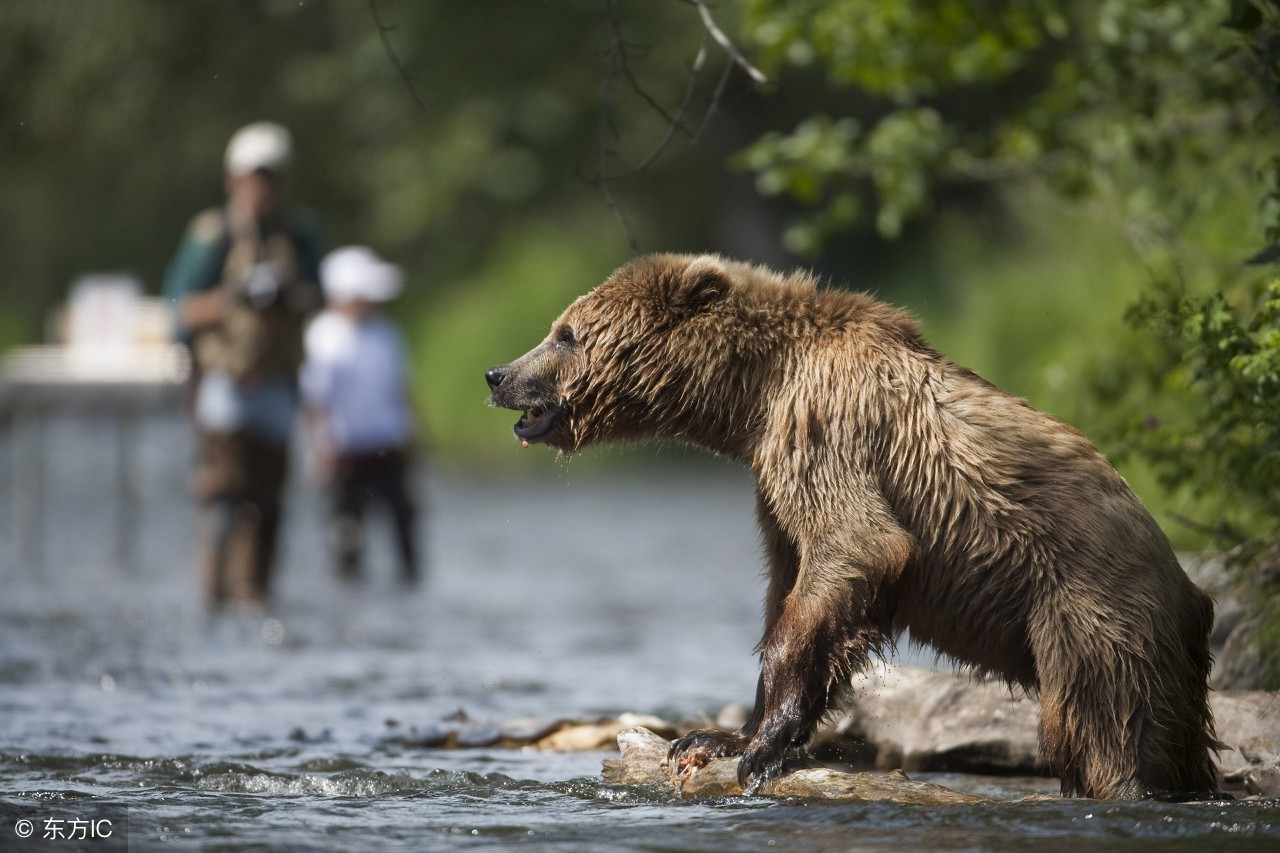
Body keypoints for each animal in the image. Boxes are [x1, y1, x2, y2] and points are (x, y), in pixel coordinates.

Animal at [486, 252, 1218, 799]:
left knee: (1101, 729)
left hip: (1090, 616)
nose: (498, 374)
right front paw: (717, 736)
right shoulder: (774, 476)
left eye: (566, 333)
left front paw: (760, 746)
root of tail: (1192, 590)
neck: (754, 395)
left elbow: (855, 550)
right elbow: (793, 583)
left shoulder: (825, 431)